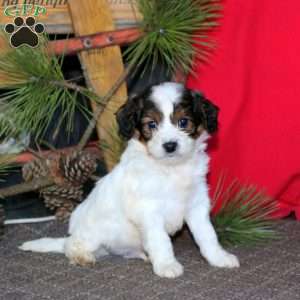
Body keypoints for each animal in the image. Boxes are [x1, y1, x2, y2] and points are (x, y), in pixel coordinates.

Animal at [19, 81, 240, 276]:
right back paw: (81, 256)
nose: (170, 145)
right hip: (91, 233)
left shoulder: (197, 204)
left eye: (183, 122)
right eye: (151, 124)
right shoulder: (149, 210)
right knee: (72, 245)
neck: (171, 169)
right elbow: (161, 240)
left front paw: (219, 257)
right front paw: (167, 265)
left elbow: (207, 234)